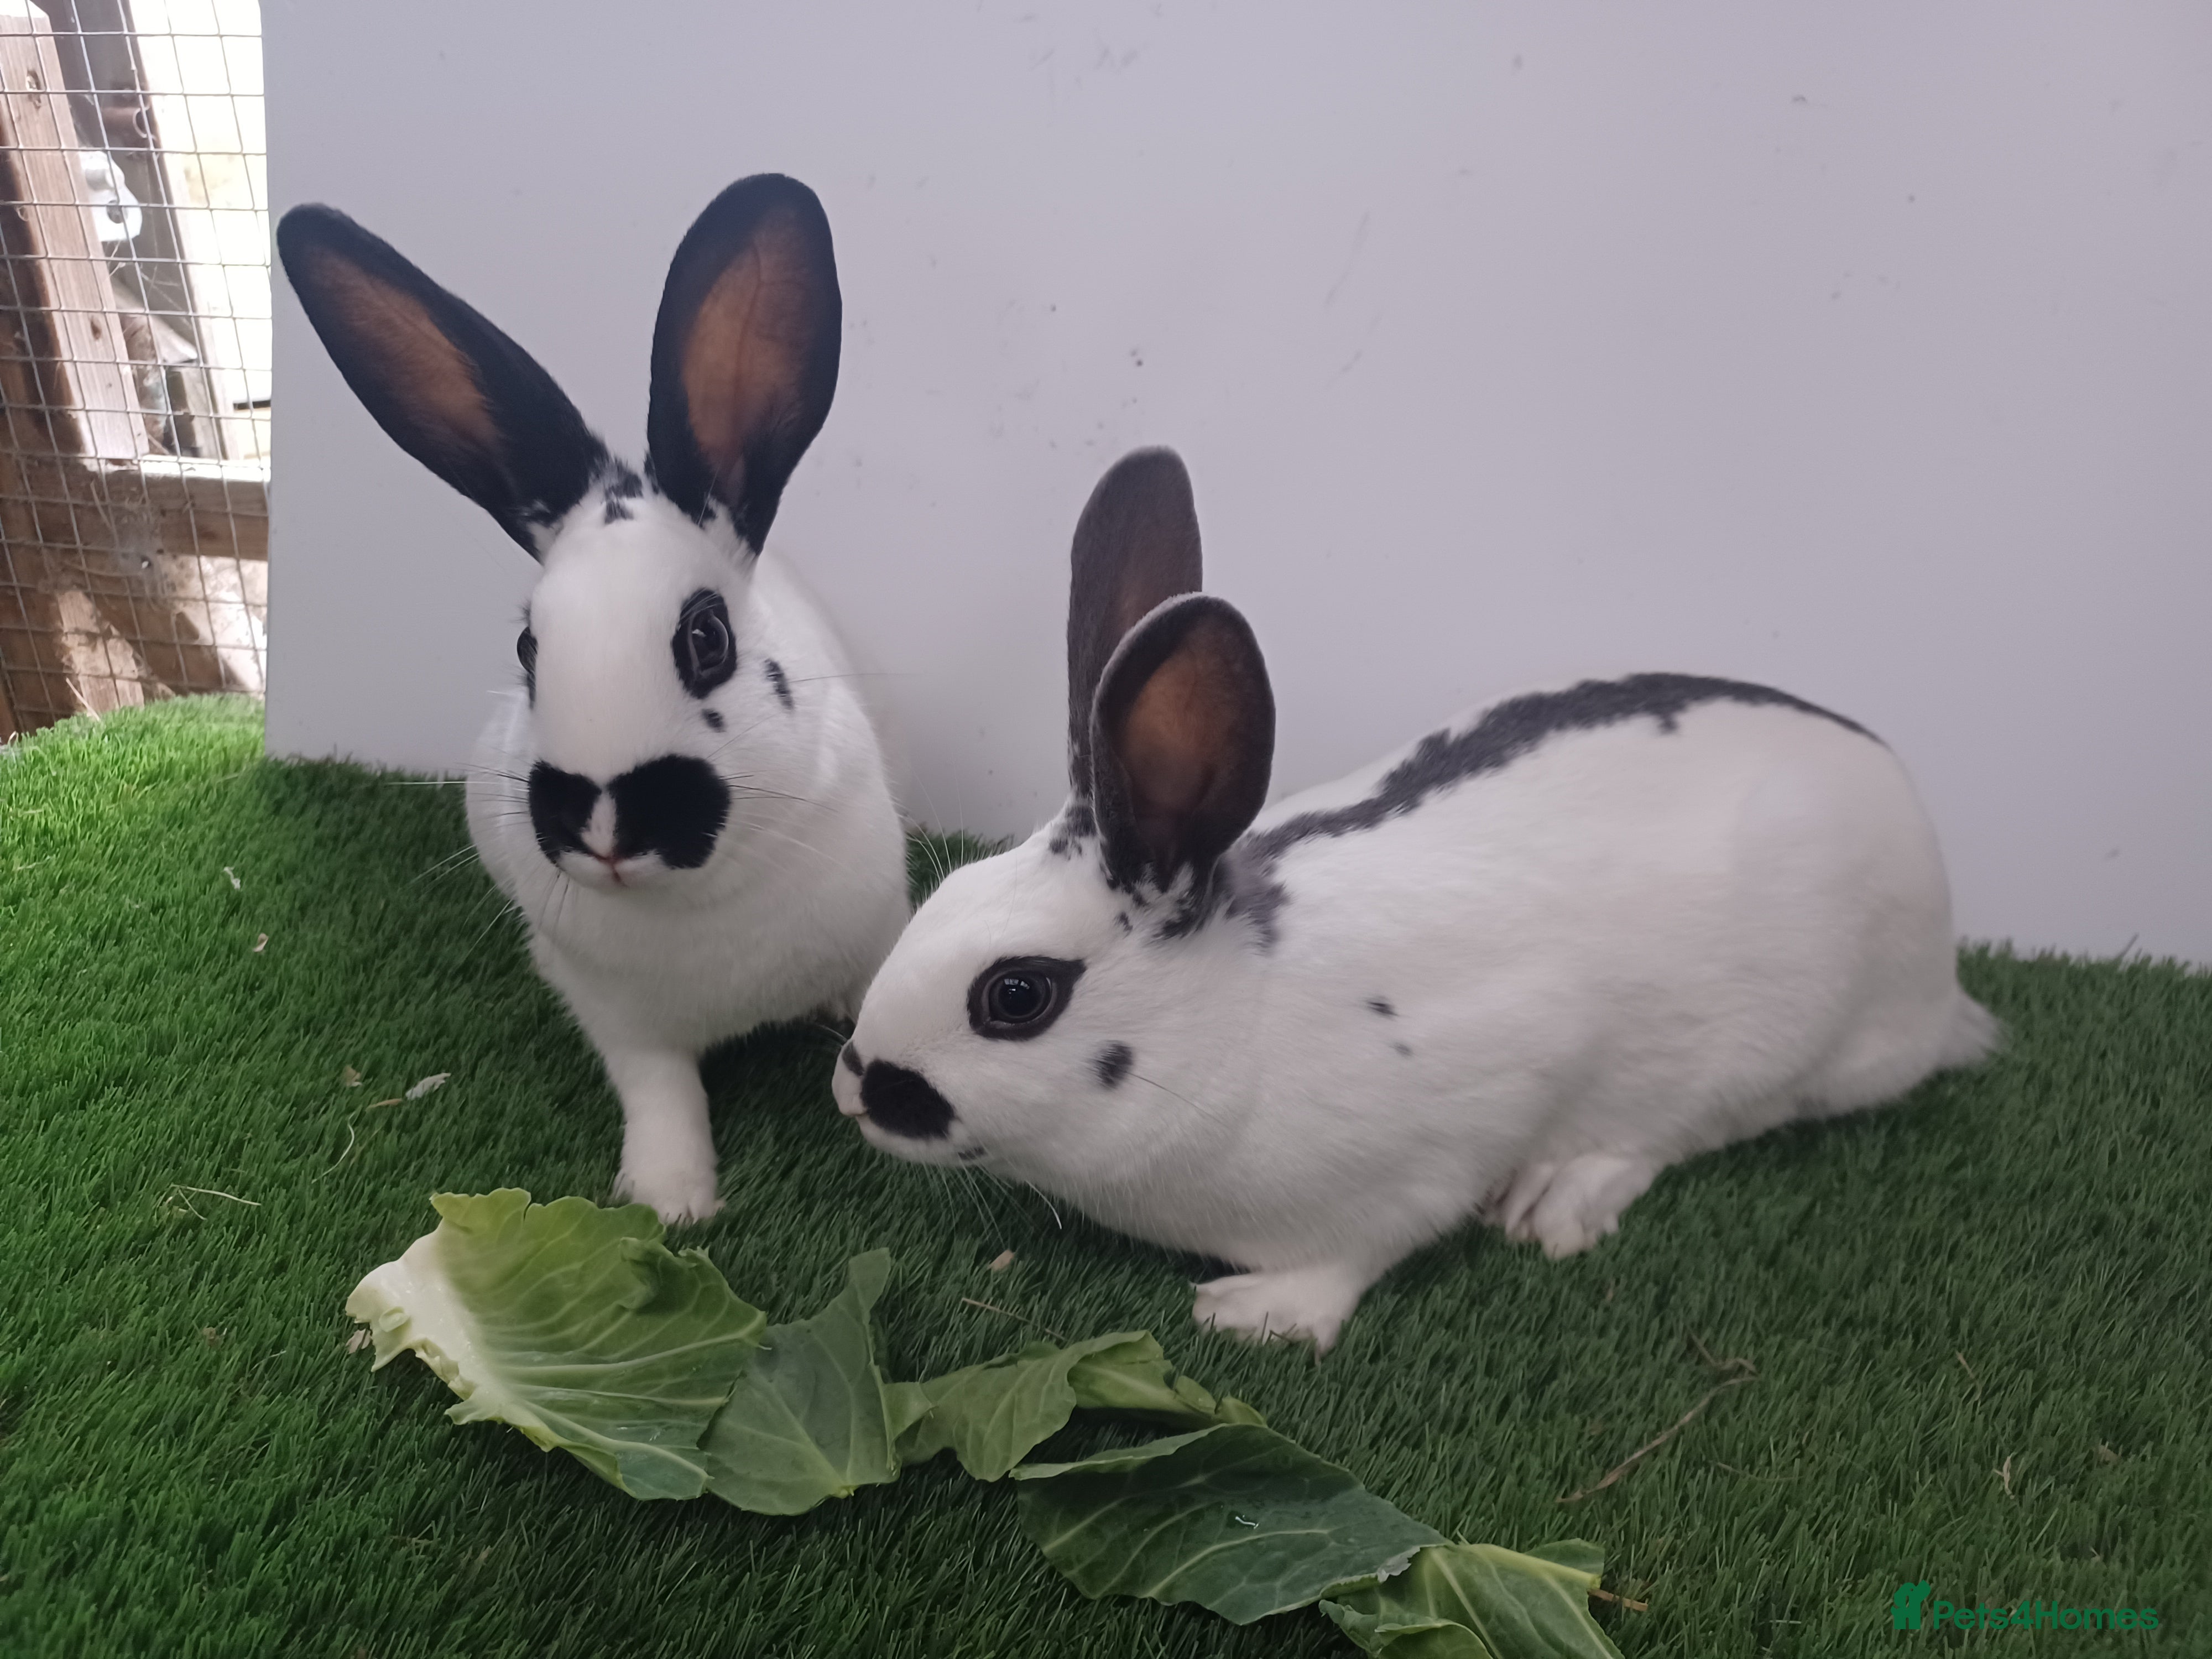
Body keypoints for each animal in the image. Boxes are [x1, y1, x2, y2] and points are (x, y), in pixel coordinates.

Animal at [278, 175, 910, 1225]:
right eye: (528, 648)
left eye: (707, 638)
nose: (605, 823)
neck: (700, 908)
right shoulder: (620, 1021)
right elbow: (660, 1093)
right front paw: (670, 1202)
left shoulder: (879, 935)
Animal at [832, 447, 1996, 1352]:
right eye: (944, 893)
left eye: (1017, 996)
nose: (856, 1088)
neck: (1237, 1018)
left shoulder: (1450, 1133)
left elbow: (1368, 1247)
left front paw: (1257, 1314)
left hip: (1770, 1050)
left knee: (1681, 1129)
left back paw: (1555, 1200)